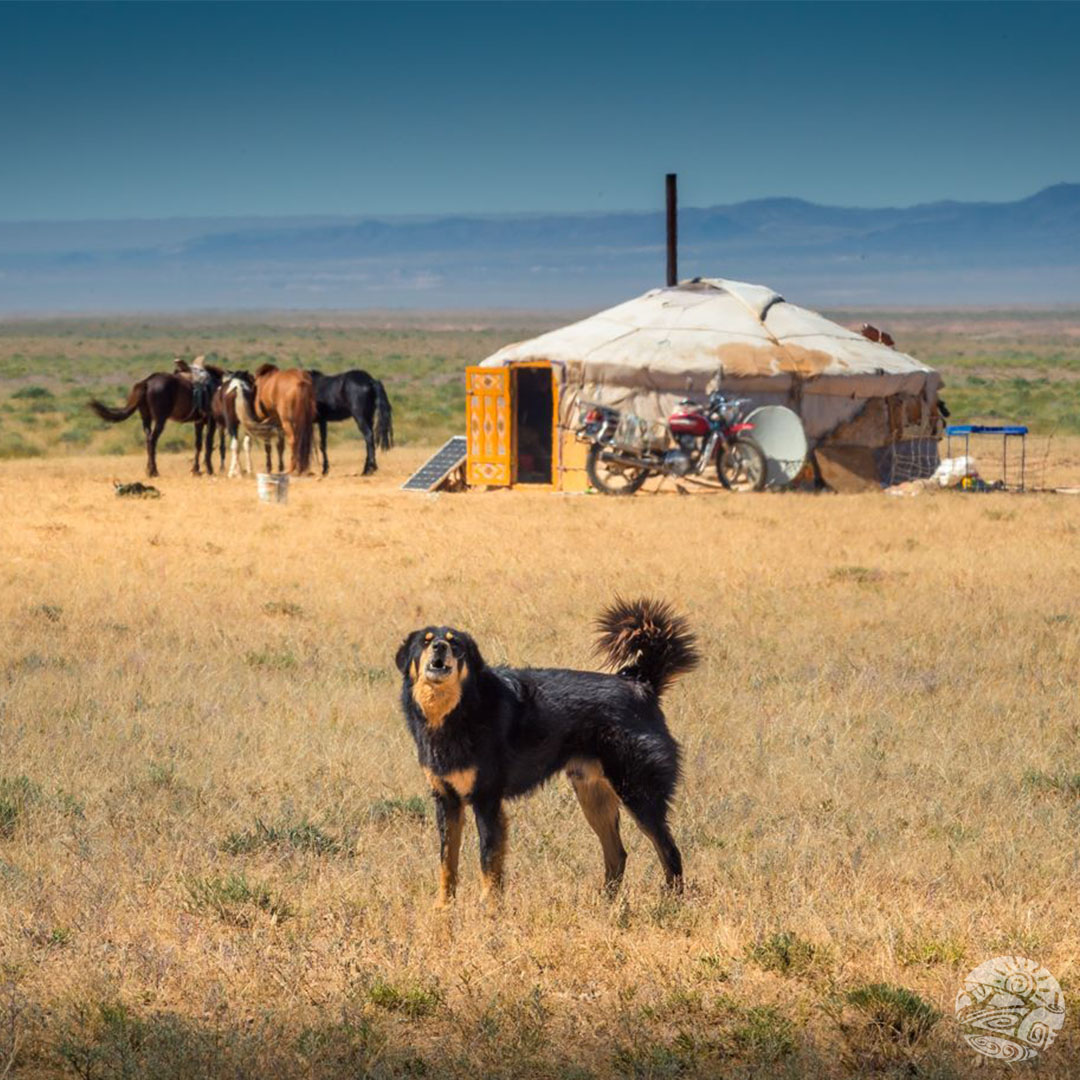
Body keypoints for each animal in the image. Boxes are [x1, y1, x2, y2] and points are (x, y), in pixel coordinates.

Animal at [89, 367, 224, 477]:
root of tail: (147, 382)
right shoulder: (211, 421)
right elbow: (208, 444)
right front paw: (210, 470)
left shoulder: (198, 422)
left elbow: (198, 445)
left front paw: (196, 470)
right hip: (160, 419)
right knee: (153, 440)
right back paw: (154, 471)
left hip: (146, 418)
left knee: (148, 440)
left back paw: (149, 470)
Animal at [397, 600, 699, 902]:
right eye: (425, 642)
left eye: (455, 644)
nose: (439, 647)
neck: (458, 708)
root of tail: (643, 685)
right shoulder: (447, 800)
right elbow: (447, 863)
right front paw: (444, 907)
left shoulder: (487, 800)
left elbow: (488, 862)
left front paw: (489, 907)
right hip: (594, 796)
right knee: (618, 855)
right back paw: (606, 904)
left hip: (638, 793)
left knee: (669, 851)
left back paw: (671, 903)